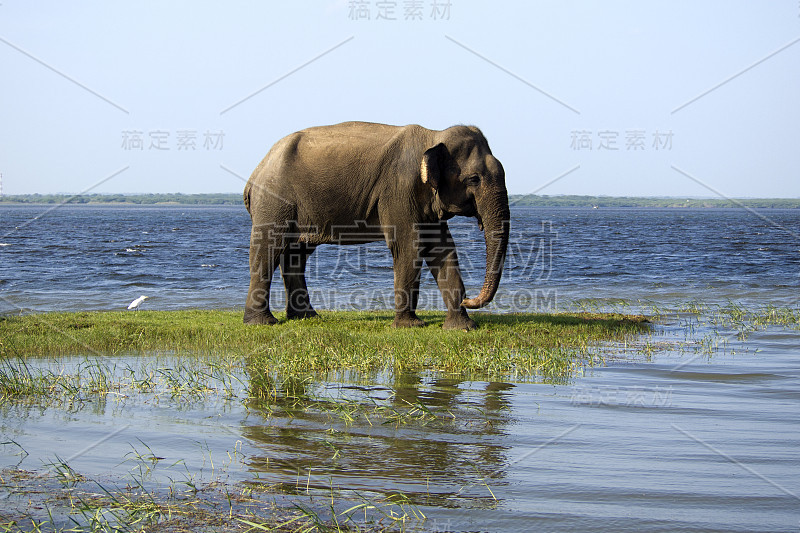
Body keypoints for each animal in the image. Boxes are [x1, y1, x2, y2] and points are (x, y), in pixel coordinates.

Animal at [241, 121, 510, 330]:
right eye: (473, 179)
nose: (468, 300)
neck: (434, 135)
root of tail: (254, 174)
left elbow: (442, 250)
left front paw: (463, 327)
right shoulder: (400, 190)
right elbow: (409, 247)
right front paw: (410, 326)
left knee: (296, 255)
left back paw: (306, 317)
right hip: (274, 201)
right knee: (268, 249)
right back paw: (262, 322)